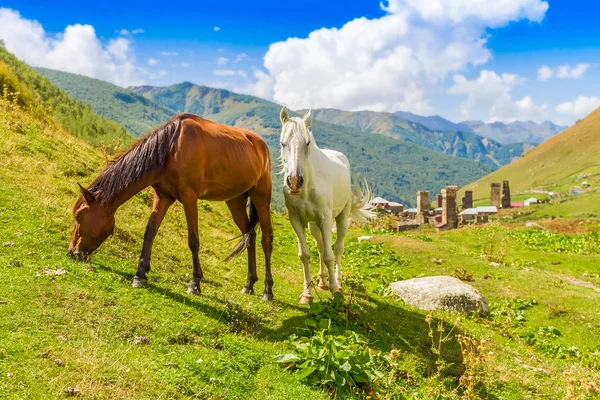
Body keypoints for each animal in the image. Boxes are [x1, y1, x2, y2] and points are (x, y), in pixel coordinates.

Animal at [68, 112, 274, 300]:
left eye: (78, 216)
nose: (72, 252)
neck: (171, 149)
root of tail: (262, 146)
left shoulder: (190, 198)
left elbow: (193, 240)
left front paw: (195, 283)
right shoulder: (163, 196)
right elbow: (150, 231)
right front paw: (140, 275)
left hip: (261, 199)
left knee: (266, 241)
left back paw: (267, 290)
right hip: (235, 200)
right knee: (249, 235)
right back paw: (249, 284)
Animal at [278, 106, 372, 304]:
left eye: (307, 143)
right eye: (283, 143)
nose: (294, 182)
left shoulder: (326, 219)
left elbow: (329, 256)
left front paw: (335, 291)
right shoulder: (296, 219)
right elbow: (305, 255)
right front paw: (307, 294)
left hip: (341, 218)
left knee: (337, 249)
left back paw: (338, 282)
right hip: (314, 224)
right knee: (321, 247)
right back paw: (322, 282)